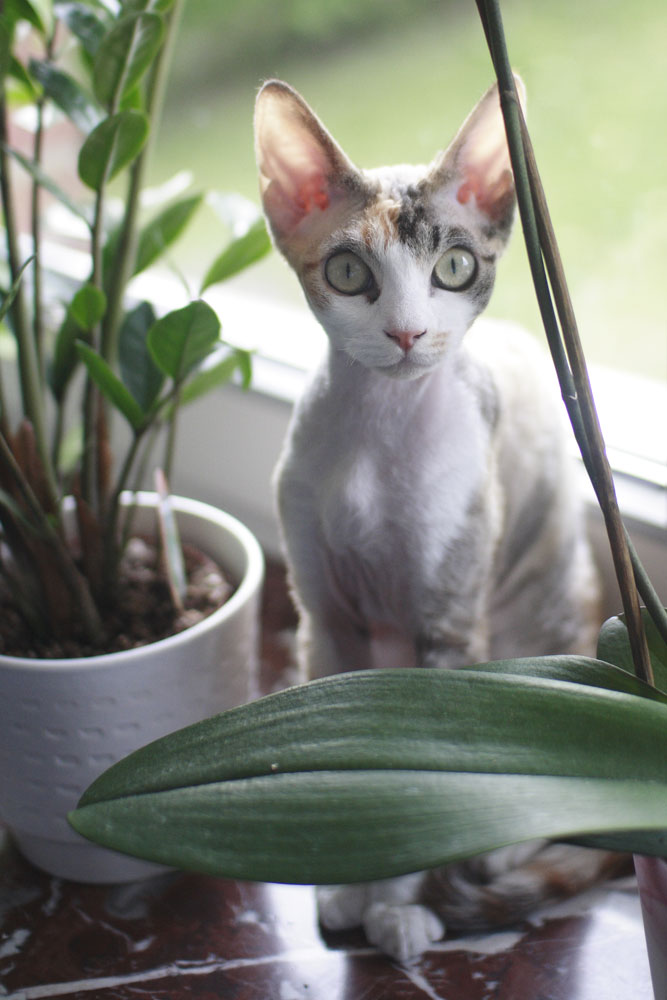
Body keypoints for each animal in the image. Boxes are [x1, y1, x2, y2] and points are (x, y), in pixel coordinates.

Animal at [253, 82, 620, 964]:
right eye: (349, 273)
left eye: (453, 267)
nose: (407, 332)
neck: (375, 437)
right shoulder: (324, 616)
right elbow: (343, 751)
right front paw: (348, 883)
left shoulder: (448, 625)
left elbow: (421, 777)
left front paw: (396, 903)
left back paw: (496, 854)